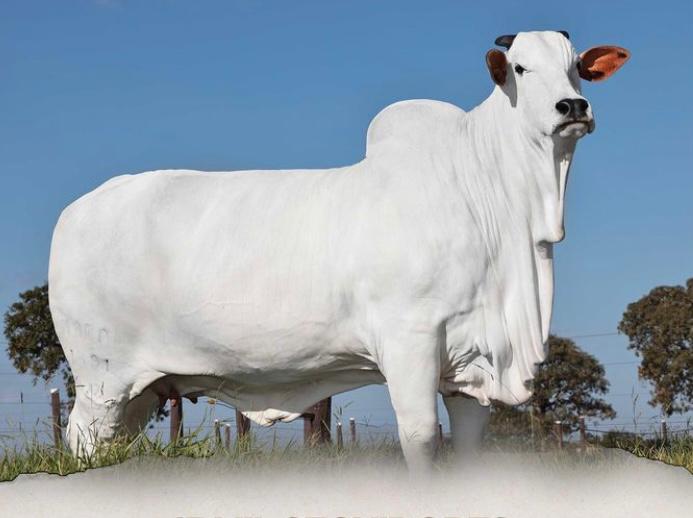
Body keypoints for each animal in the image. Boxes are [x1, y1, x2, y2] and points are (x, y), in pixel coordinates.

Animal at [48, 31, 629, 472]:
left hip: (140, 389)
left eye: (576, 68)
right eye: (521, 68)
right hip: (101, 380)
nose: (572, 107)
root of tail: (77, 209)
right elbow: (422, 438)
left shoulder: (472, 364)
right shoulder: (410, 340)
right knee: (83, 438)